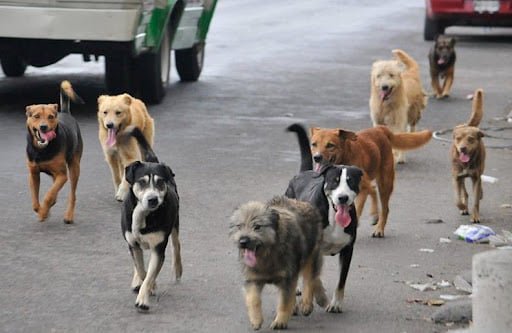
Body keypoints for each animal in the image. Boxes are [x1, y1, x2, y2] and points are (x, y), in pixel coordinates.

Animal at [25, 80, 84, 223]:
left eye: (50, 117)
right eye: (36, 116)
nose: (43, 127)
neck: (42, 150)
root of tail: (65, 112)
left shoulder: (62, 175)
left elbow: (48, 195)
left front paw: (43, 212)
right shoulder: (33, 174)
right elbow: (35, 202)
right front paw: (42, 211)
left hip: (74, 168)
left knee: (72, 194)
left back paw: (69, 215)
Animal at [121, 126, 183, 310]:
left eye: (160, 182)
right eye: (142, 182)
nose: (153, 199)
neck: (143, 214)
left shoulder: (158, 247)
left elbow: (149, 273)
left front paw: (144, 298)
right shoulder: (132, 243)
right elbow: (143, 270)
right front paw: (147, 285)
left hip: (175, 223)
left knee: (177, 245)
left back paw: (178, 269)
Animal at [230, 196, 326, 328]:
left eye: (257, 226)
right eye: (239, 226)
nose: (243, 241)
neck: (268, 255)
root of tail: (301, 202)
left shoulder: (287, 278)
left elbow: (284, 302)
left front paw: (280, 321)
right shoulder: (253, 279)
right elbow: (253, 299)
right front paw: (256, 319)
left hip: (311, 255)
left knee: (310, 279)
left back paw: (307, 303)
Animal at [284, 123, 364, 312]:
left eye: (350, 181)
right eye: (334, 180)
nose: (343, 198)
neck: (333, 217)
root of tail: (304, 172)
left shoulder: (348, 250)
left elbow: (341, 280)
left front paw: (335, 303)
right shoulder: (314, 248)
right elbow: (313, 277)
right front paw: (314, 299)